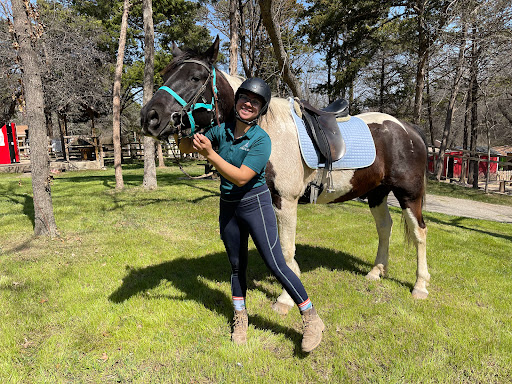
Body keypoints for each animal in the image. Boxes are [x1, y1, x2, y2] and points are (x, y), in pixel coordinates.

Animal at [139, 38, 428, 316]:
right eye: (166, 74)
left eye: (196, 77)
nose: (149, 117)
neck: (268, 132)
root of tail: (408, 129)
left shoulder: (285, 201)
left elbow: (285, 250)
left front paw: (286, 299)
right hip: (377, 193)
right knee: (385, 227)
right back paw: (376, 272)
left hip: (408, 194)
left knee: (419, 232)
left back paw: (420, 287)